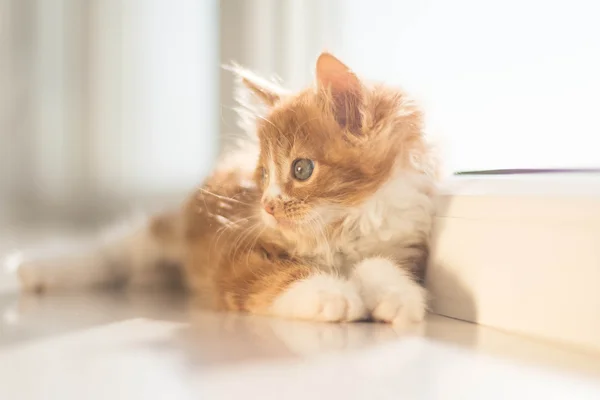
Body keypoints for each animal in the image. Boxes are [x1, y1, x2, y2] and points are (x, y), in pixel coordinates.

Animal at [17, 53, 436, 326]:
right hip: (167, 229)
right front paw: (332, 294)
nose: (267, 206)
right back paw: (36, 269)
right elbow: (276, 275)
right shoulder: (232, 252)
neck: (340, 228)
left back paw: (151, 279)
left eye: (301, 169)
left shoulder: (403, 241)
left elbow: (381, 263)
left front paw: (397, 296)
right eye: (263, 175)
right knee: (114, 251)